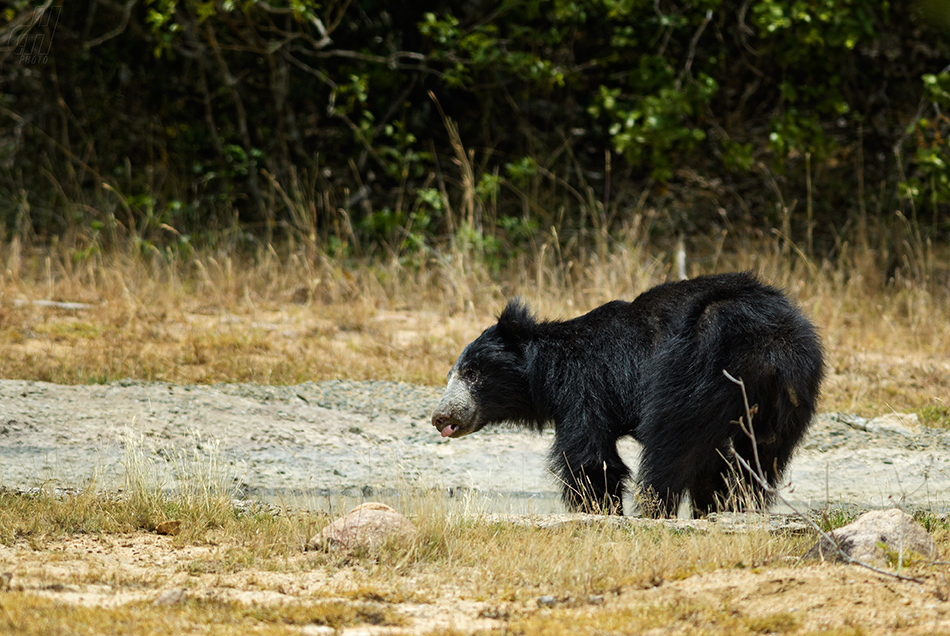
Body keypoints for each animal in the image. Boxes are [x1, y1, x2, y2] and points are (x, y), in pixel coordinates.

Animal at [432, 272, 824, 516]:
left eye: (472, 374)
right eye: (451, 374)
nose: (441, 417)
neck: (546, 371)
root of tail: (768, 344)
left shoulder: (585, 387)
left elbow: (590, 458)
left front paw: (601, 510)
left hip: (693, 367)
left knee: (672, 446)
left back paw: (652, 511)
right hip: (788, 395)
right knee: (756, 457)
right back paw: (734, 507)